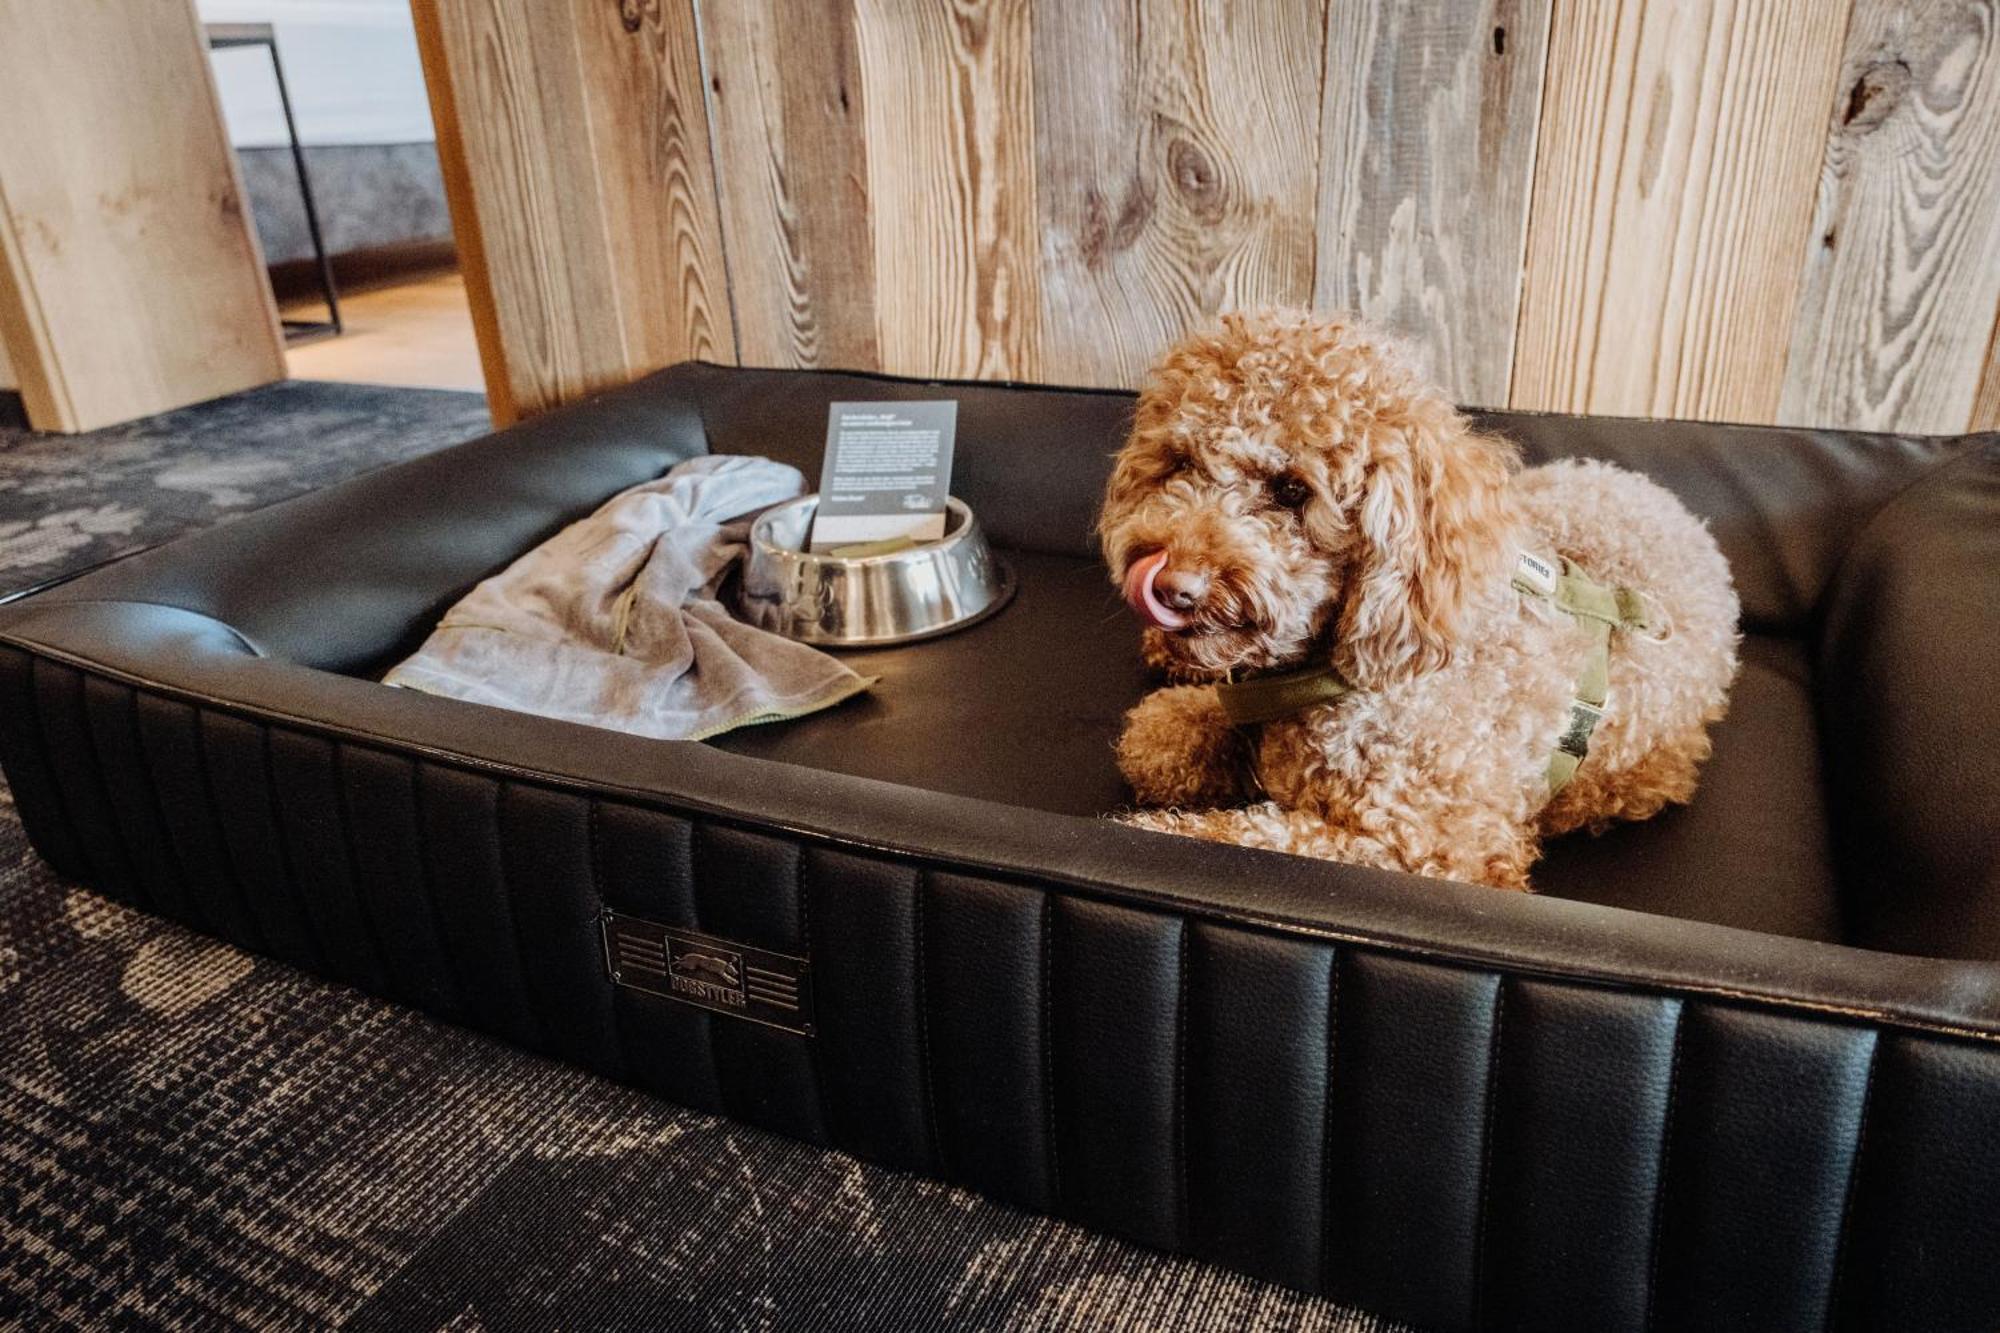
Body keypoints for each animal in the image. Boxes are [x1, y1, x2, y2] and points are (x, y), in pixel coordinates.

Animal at [1104, 312, 1744, 888]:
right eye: (1180, 463)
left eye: (1292, 491)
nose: (1172, 585)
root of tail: (1684, 514)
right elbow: (1160, 736)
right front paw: (1175, 712)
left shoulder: (1426, 845)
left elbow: (1250, 839)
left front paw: (1150, 834)